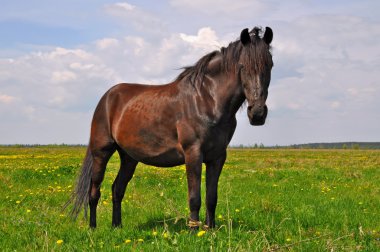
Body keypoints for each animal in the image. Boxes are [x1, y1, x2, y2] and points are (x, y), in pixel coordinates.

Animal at [68, 26, 274, 229]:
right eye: (242, 66)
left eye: (270, 65)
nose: (257, 113)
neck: (207, 100)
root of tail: (107, 97)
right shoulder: (193, 154)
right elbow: (195, 197)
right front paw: (193, 230)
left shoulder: (217, 157)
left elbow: (211, 197)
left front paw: (210, 230)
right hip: (101, 152)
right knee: (94, 191)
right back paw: (93, 228)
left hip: (129, 157)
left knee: (117, 188)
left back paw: (116, 226)